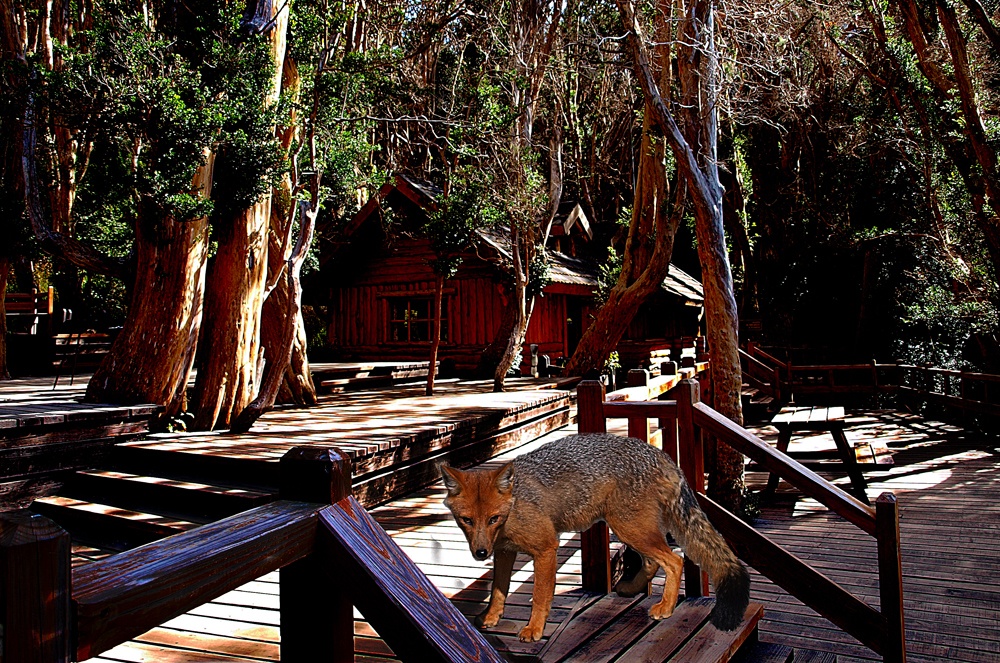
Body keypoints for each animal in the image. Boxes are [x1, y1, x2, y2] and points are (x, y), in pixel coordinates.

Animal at [440, 434, 752, 640]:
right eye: (467, 521)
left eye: (493, 519)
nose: (480, 554)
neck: (514, 506)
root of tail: (662, 455)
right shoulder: (505, 552)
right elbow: (497, 590)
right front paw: (491, 618)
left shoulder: (546, 549)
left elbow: (540, 596)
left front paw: (535, 629)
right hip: (630, 530)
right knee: (654, 562)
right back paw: (630, 589)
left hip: (629, 528)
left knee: (673, 561)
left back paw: (665, 608)